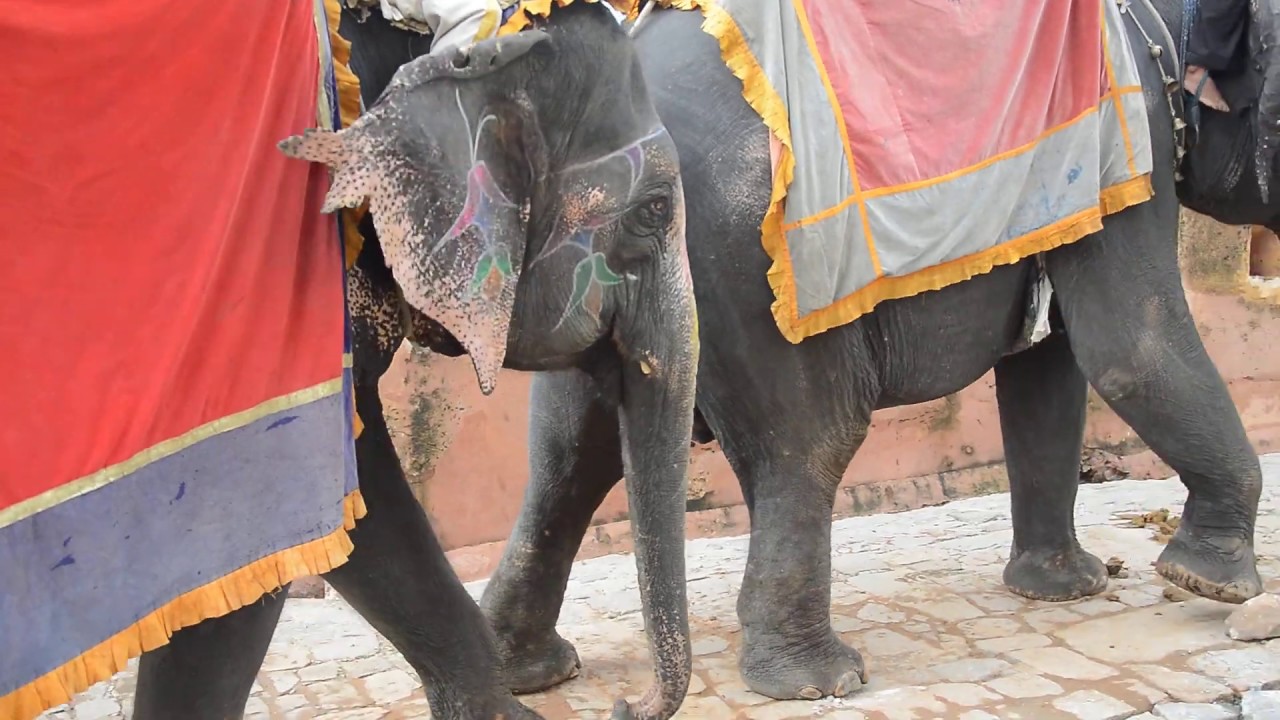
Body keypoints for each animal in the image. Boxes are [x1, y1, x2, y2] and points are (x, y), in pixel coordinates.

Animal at [478, 0, 1274, 705]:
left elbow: (1047, 369)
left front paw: (1066, 588)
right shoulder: (1133, 143)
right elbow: (1126, 344)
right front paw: (1206, 583)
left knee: (568, 451)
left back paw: (529, 672)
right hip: (750, 264)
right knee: (811, 440)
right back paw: (819, 680)